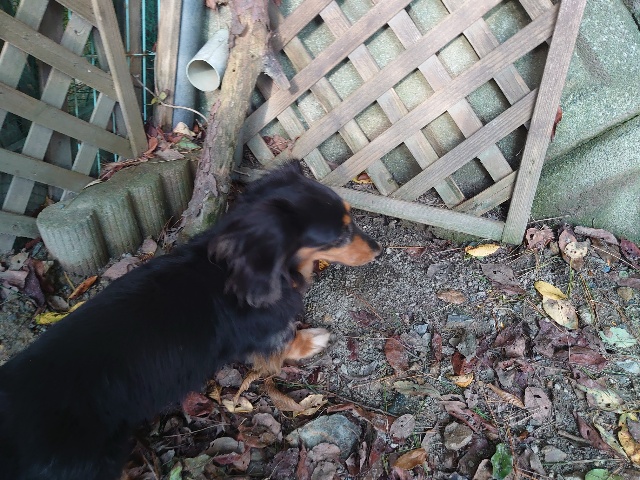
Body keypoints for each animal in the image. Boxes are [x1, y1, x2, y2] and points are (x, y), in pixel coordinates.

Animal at [0, 162, 381, 480]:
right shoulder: (263, 333)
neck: (235, 268)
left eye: (351, 218)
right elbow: (284, 341)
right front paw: (311, 339)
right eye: (338, 236)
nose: (378, 250)